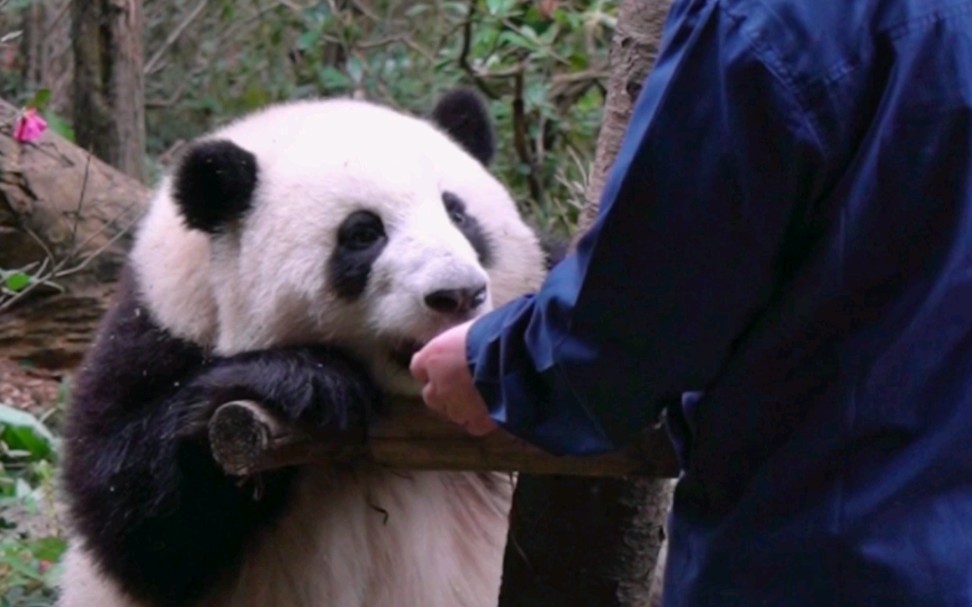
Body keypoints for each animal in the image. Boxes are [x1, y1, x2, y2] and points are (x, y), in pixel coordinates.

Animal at [58, 90, 548, 607]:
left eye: (458, 214)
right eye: (363, 233)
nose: (457, 294)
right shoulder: (156, 335)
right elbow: (137, 521)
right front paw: (310, 381)